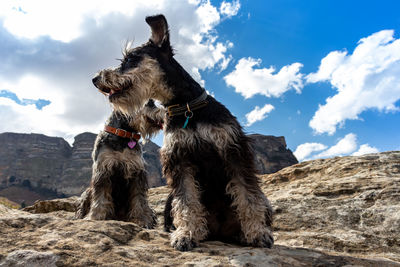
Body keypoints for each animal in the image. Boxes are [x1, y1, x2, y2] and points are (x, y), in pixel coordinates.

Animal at [75, 99, 164, 229]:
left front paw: (142, 220)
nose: (166, 113)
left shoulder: (137, 171)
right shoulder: (103, 169)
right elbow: (100, 196)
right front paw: (95, 217)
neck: (123, 135)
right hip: (86, 192)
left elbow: (139, 198)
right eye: (150, 103)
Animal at [90, 13, 272, 250]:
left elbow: (247, 196)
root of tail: (220, 231)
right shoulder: (179, 159)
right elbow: (186, 201)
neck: (186, 107)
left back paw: (242, 234)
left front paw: (258, 232)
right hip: (169, 201)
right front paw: (186, 234)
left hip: (266, 202)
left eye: (130, 59)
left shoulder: (233, 151)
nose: (95, 79)